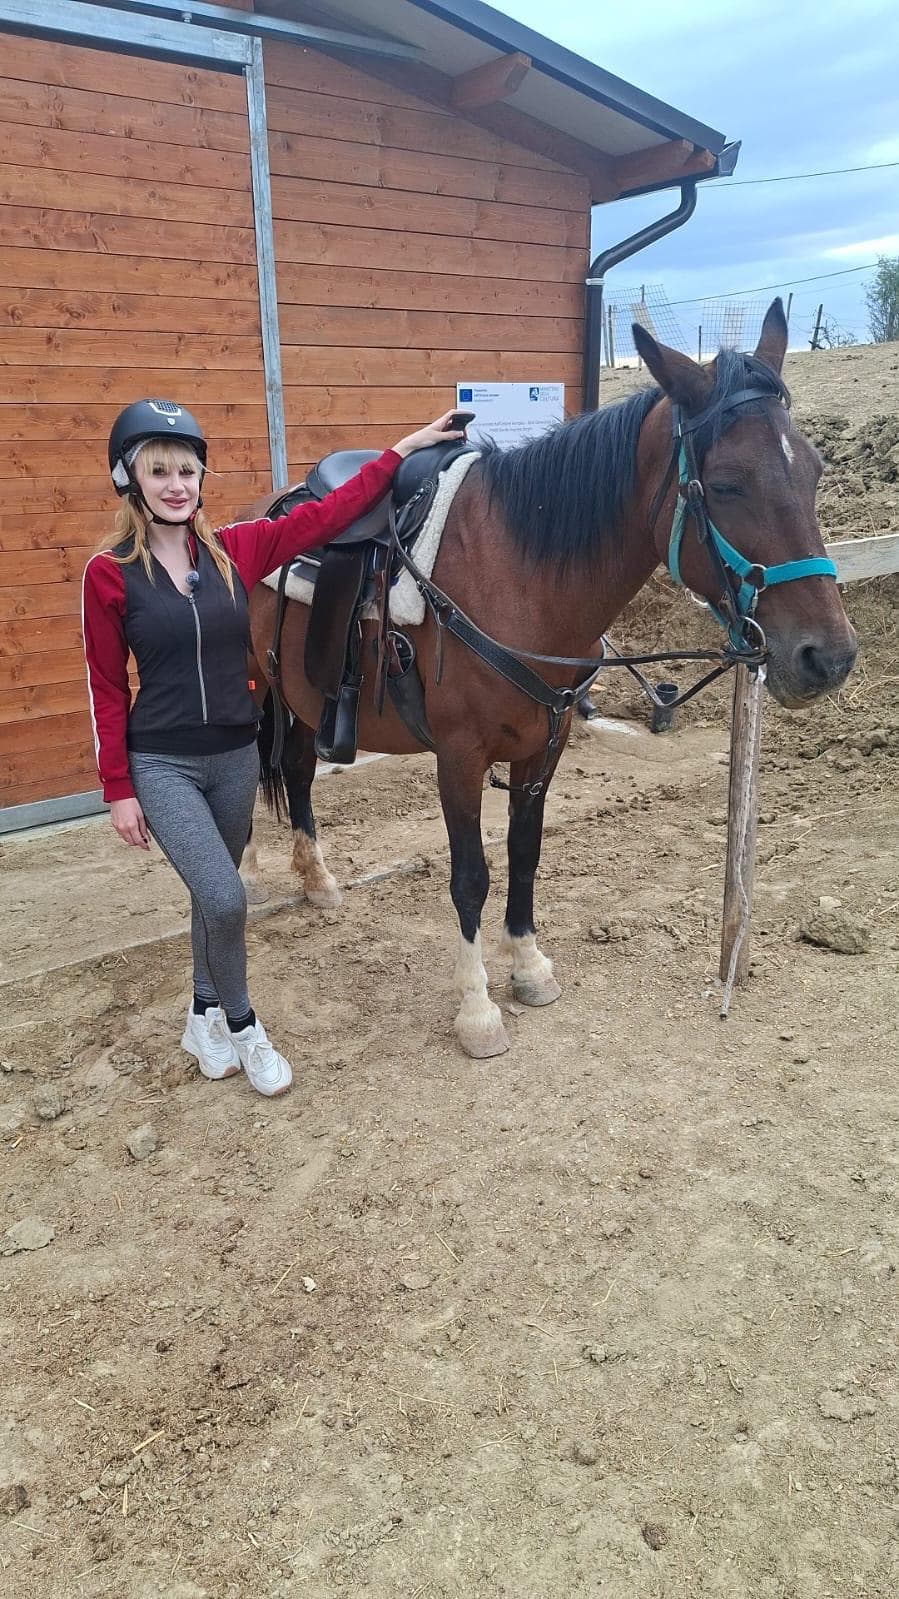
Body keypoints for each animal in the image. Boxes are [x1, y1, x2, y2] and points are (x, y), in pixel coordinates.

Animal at [242, 301, 857, 1058]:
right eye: (726, 484)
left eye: (814, 470)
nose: (829, 657)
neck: (518, 576)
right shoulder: (459, 757)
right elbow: (470, 876)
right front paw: (477, 1008)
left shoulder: (546, 744)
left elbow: (525, 853)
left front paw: (529, 966)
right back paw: (244, 876)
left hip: (304, 696)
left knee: (299, 768)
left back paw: (318, 879)